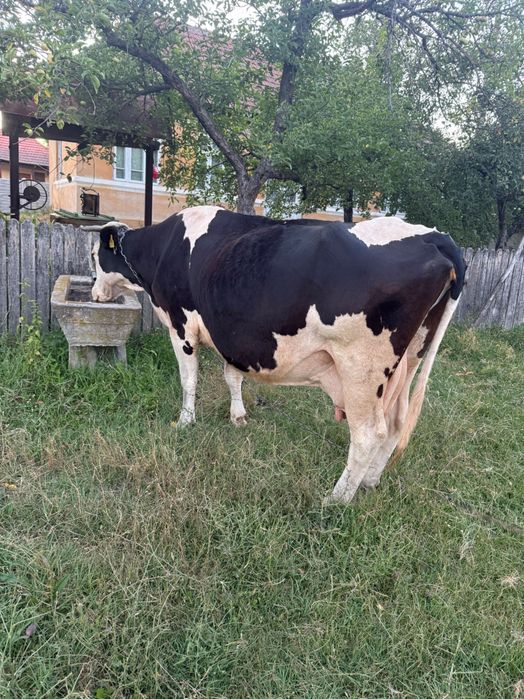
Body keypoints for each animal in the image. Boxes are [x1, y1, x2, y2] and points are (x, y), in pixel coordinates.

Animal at [88, 206, 465, 503]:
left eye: (94, 256)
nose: (94, 294)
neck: (165, 248)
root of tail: (434, 236)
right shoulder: (231, 332)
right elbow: (232, 375)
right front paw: (238, 416)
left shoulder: (181, 326)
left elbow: (189, 379)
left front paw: (184, 421)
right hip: (410, 358)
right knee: (398, 421)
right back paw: (369, 481)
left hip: (362, 367)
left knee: (370, 432)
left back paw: (337, 499)